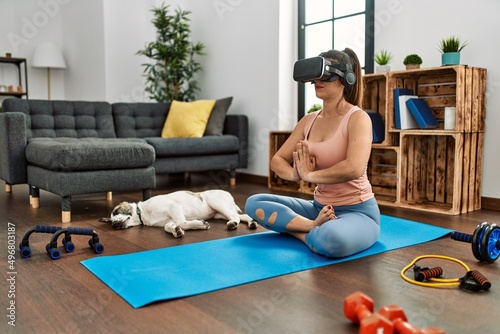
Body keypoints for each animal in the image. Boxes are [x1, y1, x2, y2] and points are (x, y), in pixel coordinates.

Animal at [100, 189, 260, 239]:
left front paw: (199, 224)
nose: (114, 224)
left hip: (216, 202)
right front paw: (177, 231)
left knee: (235, 217)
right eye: (111, 220)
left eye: (116, 211)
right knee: (242, 216)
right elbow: (170, 226)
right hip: (219, 213)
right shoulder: (169, 220)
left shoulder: (173, 207)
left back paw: (232, 224)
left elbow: (182, 221)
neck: (142, 214)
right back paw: (251, 223)